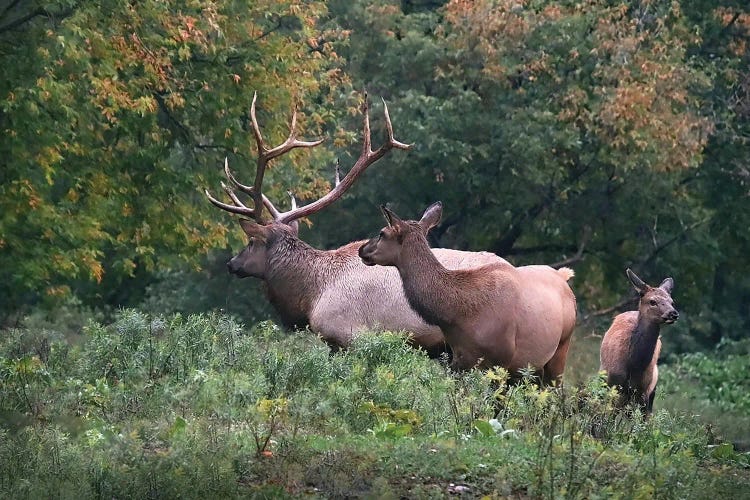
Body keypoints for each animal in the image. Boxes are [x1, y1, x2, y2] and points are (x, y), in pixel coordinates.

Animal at [362, 201, 580, 384]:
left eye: (382, 233)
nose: (362, 249)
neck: (457, 315)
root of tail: (564, 276)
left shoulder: (501, 360)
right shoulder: (459, 360)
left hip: (560, 350)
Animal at [600, 270, 680, 414]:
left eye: (672, 301)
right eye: (652, 301)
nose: (673, 313)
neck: (633, 364)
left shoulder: (643, 390)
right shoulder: (613, 382)